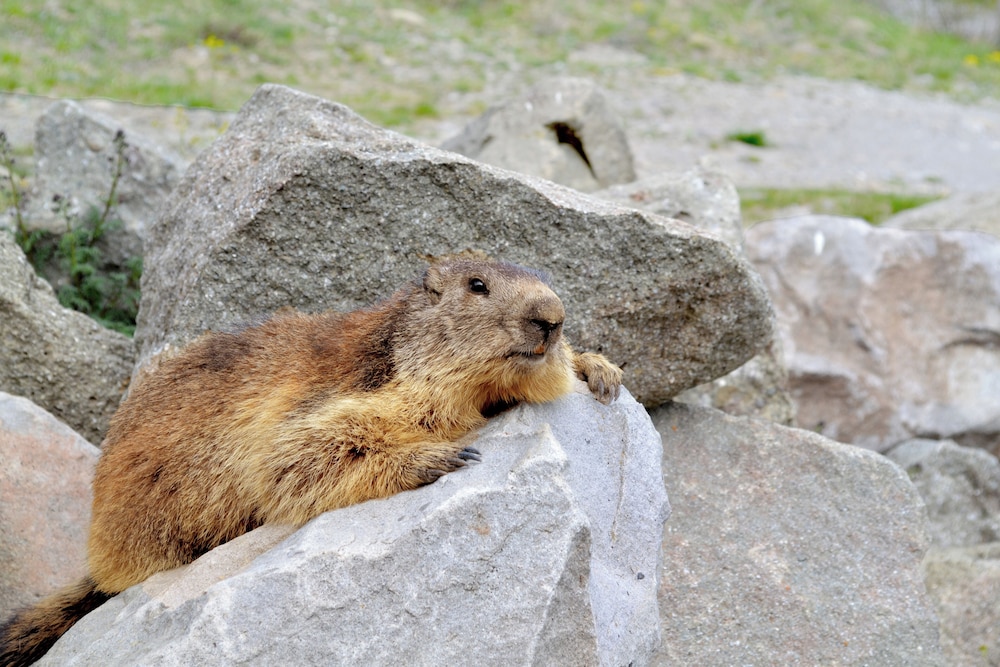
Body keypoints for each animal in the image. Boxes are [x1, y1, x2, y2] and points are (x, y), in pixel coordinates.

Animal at [0, 258, 622, 665]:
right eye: (478, 286)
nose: (553, 317)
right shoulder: (352, 393)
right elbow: (299, 452)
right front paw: (437, 455)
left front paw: (597, 368)